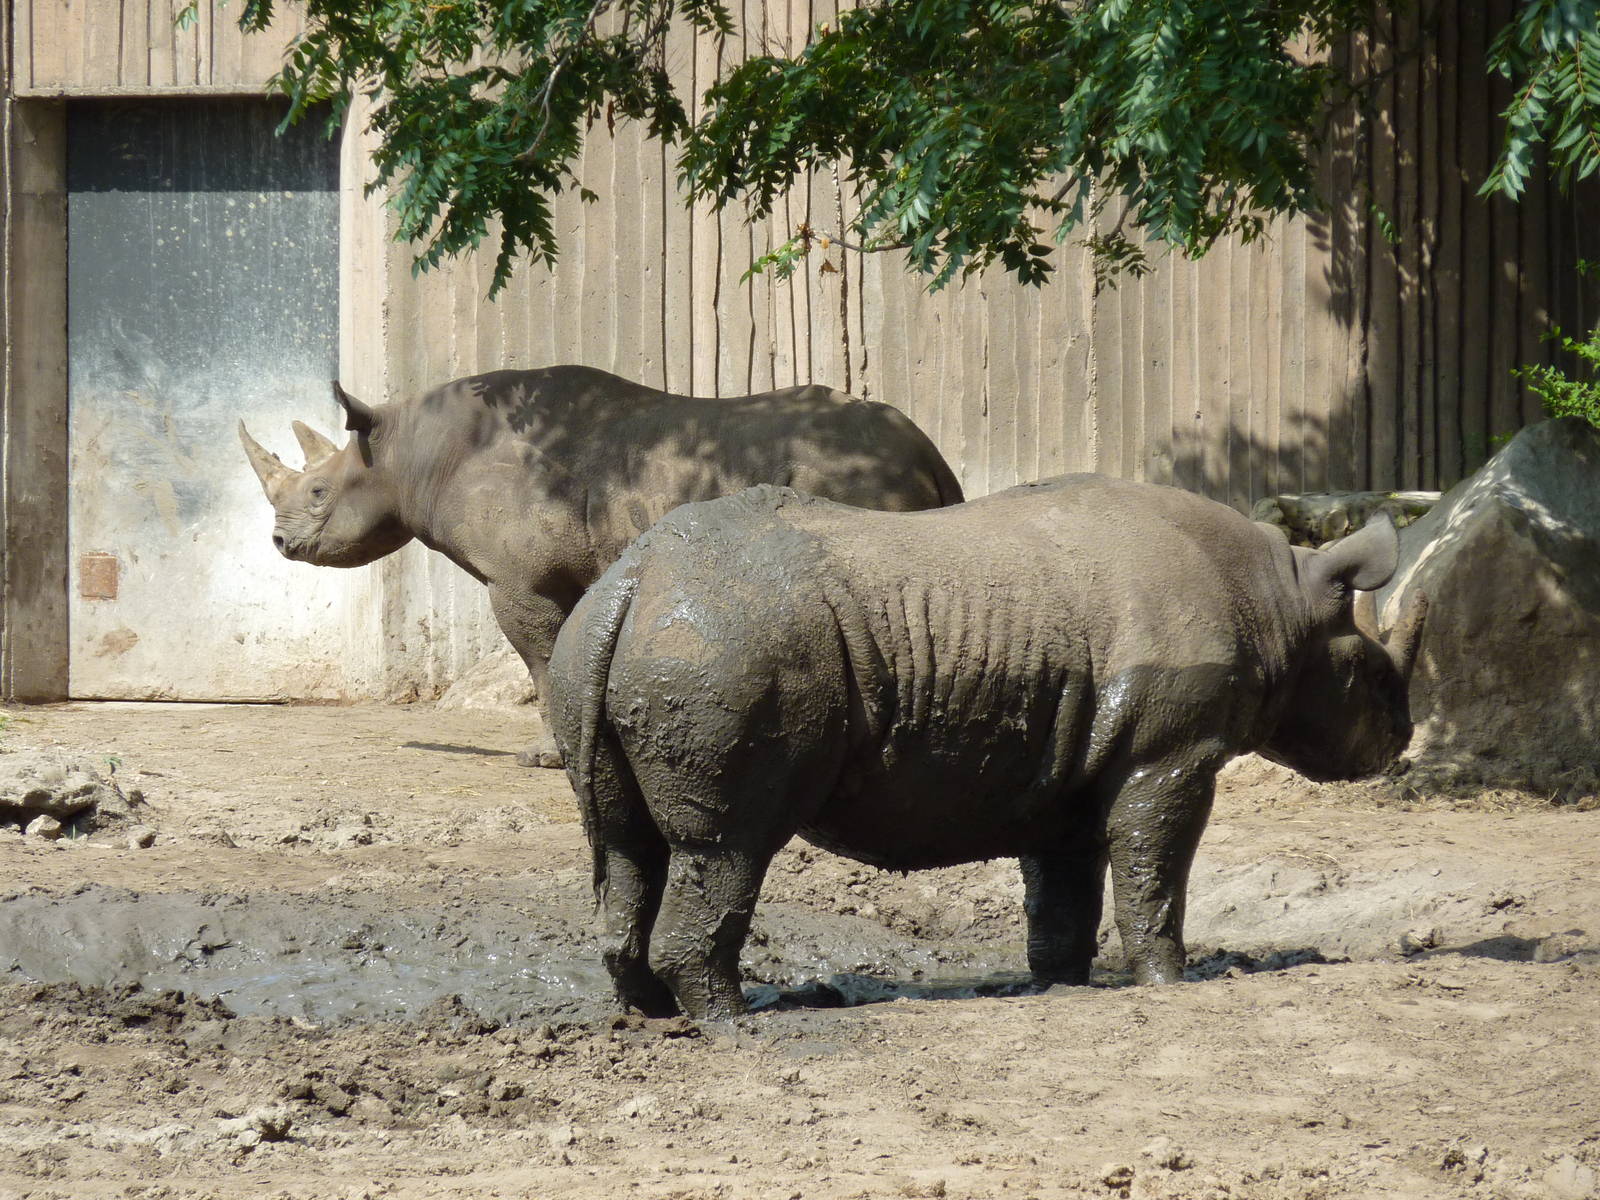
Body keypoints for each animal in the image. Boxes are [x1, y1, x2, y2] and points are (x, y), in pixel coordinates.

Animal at [238, 366, 962, 765]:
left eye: (318, 493)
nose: (276, 542)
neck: (408, 455)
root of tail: (926, 449)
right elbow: (566, 656)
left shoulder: (518, 580)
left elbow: (541, 659)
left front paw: (544, 757)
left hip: (855, 475)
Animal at [547, 475, 1429, 1019]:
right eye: (1374, 677)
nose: (1401, 738)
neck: (1281, 597)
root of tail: (633, 581)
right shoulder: (1170, 751)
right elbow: (1153, 866)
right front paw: (1168, 983)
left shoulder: (1073, 759)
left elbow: (1066, 885)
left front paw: (1060, 984)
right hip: (728, 645)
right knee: (730, 846)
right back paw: (735, 1024)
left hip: (598, 645)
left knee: (625, 845)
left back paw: (650, 1012)